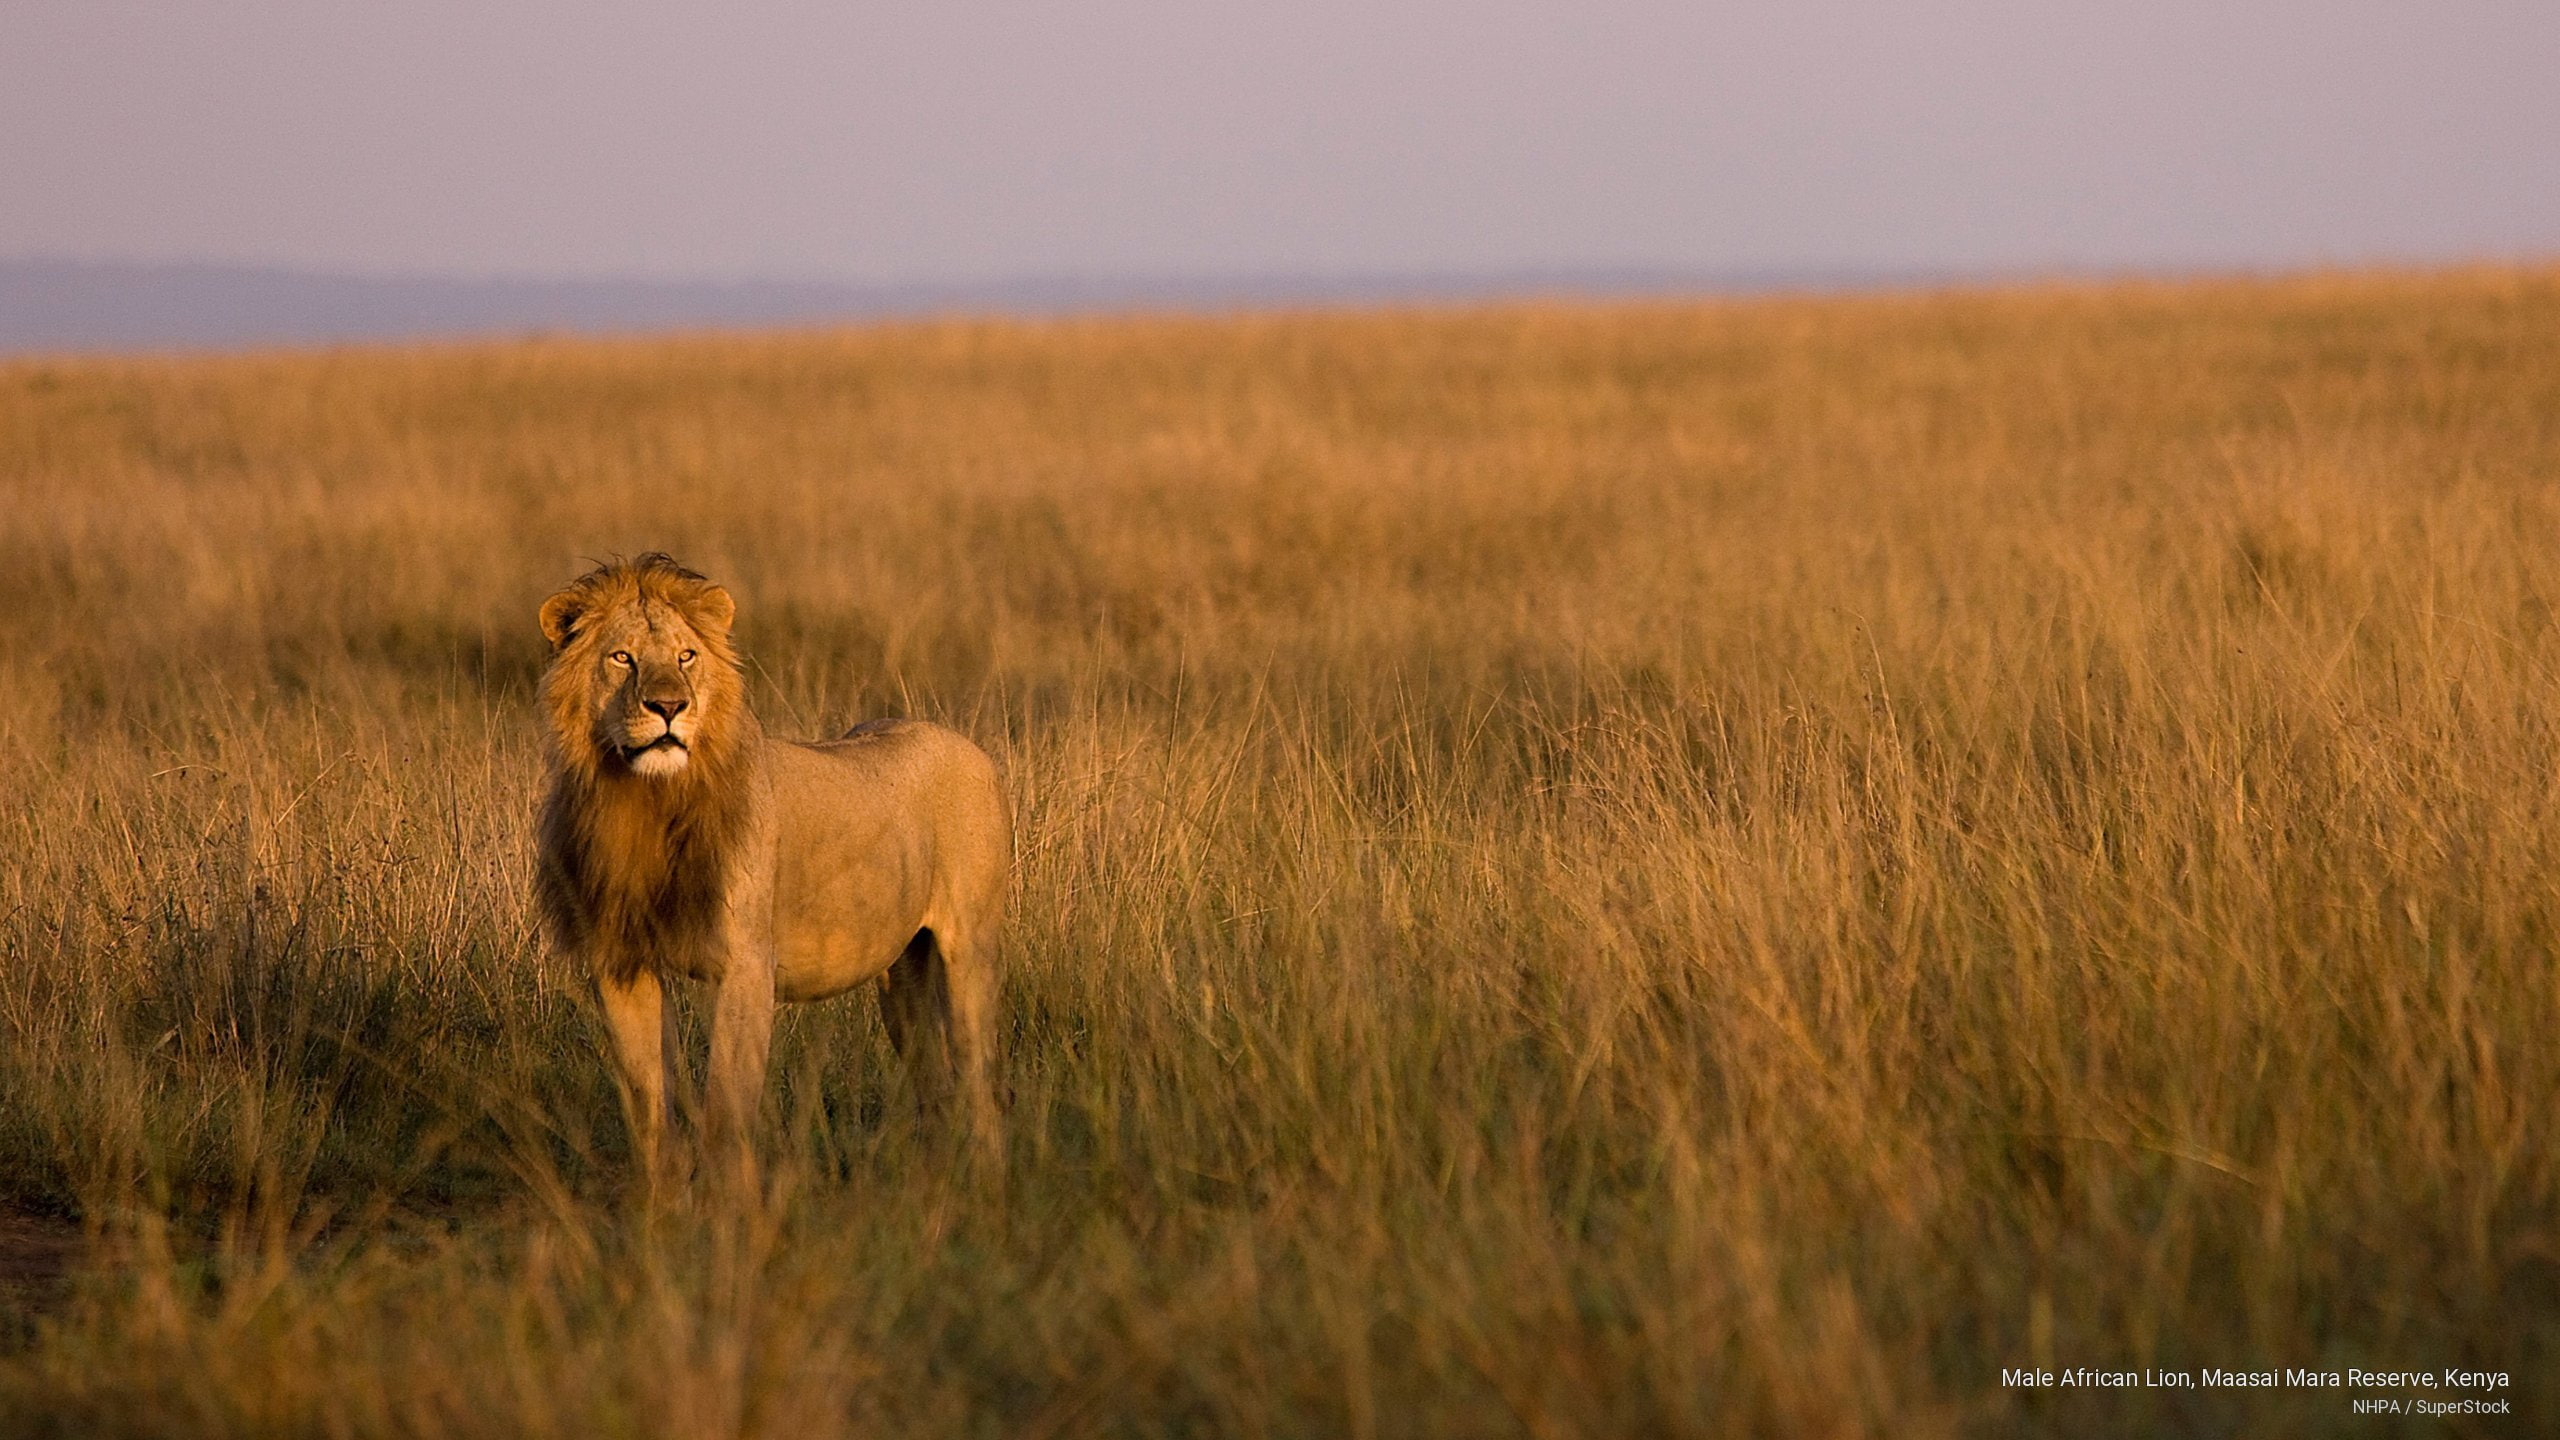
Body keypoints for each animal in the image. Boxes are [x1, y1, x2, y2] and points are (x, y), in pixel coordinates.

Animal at [533, 554, 1008, 1185]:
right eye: (622, 657)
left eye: (686, 656)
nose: (669, 707)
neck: (645, 802)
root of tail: (966, 745)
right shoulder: (621, 961)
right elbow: (649, 1105)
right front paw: (660, 1201)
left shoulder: (746, 961)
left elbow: (726, 1107)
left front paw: (730, 1202)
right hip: (902, 972)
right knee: (933, 1081)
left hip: (969, 949)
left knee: (979, 1081)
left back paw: (986, 1182)